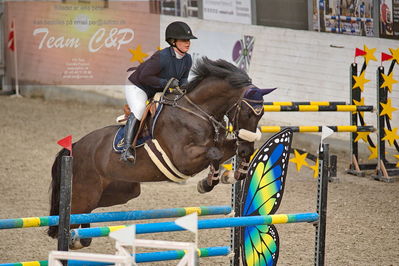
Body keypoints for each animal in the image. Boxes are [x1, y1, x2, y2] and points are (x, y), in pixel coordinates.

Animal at [47, 57, 276, 248]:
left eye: (261, 114)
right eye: (247, 113)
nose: (246, 147)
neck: (197, 111)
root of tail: (75, 147)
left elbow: (224, 151)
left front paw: (232, 173)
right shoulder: (183, 159)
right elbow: (215, 153)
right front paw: (209, 182)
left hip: (121, 191)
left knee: (86, 214)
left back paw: (80, 239)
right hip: (85, 193)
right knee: (70, 214)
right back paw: (72, 240)